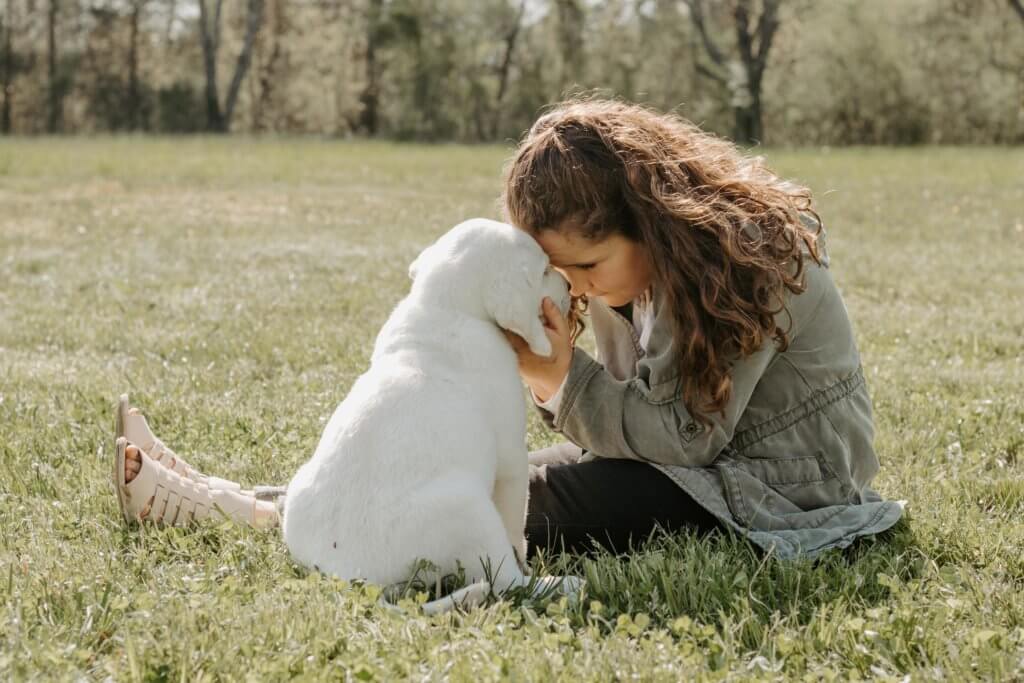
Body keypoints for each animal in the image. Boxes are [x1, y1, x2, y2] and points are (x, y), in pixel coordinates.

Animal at [282, 218, 577, 610]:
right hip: (470, 507)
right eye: (544, 269)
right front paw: (528, 562)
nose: (570, 285)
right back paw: (563, 583)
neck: (444, 306)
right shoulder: (512, 460)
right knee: (507, 582)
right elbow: (517, 527)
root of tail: (351, 577)